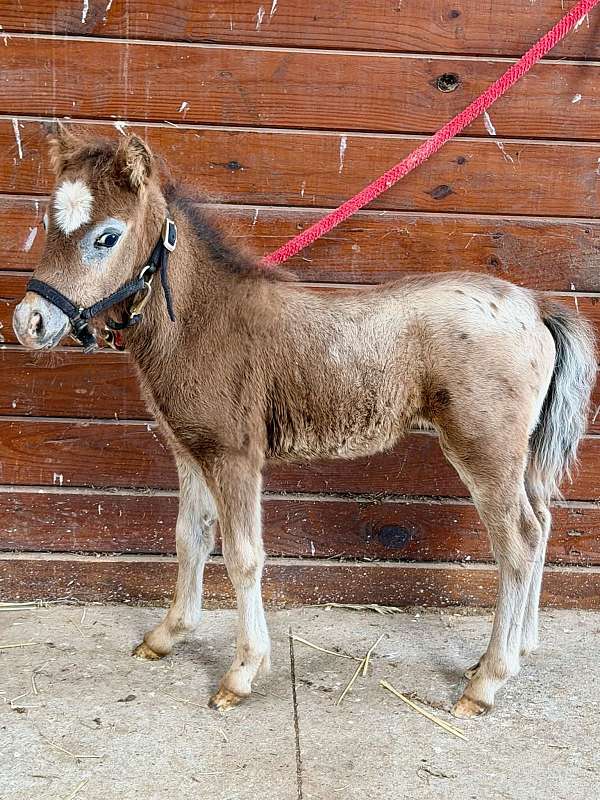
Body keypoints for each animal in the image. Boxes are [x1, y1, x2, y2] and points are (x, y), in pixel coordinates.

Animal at [13, 125, 596, 718]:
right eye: (49, 225)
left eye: (107, 237)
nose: (30, 322)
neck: (202, 322)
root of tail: (535, 307)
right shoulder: (190, 449)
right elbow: (189, 538)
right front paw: (167, 635)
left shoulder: (234, 455)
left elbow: (244, 556)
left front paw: (242, 673)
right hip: (519, 455)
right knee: (542, 524)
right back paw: (519, 649)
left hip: (484, 449)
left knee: (517, 544)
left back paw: (487, 681)